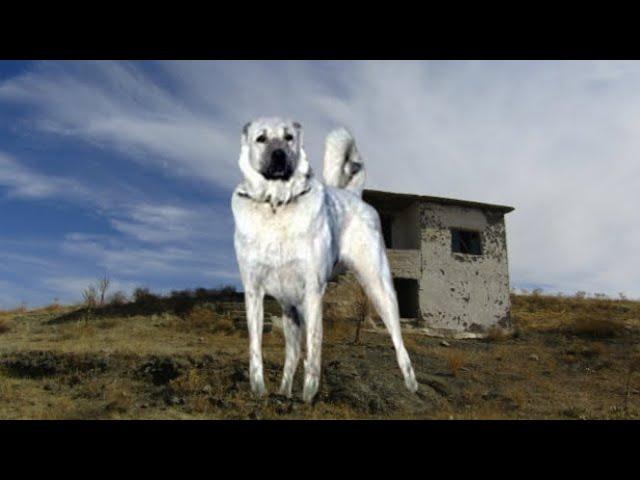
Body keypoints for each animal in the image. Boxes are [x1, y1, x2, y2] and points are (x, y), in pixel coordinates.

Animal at [232, 117, 418, 402]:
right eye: (260, 138)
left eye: (289, 137)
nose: (279, 155)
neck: (277, 205)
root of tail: (354, 194)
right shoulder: (254, 292)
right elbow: (257, 349)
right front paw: (260, 392)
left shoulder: (313, 291)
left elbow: (314, 350)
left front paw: (308, 397)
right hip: (291, 310)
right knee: (291, 358)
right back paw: (284, 392)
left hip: (379, 288)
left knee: (398, 340)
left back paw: (411, 384)